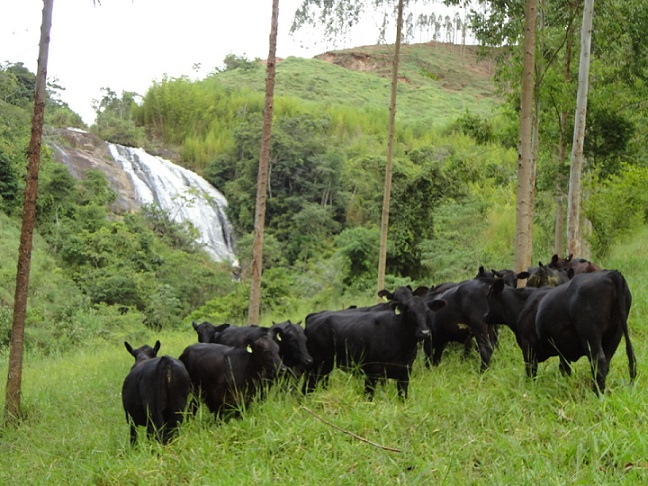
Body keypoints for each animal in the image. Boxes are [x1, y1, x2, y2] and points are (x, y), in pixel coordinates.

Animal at [302, 284, 442, 398]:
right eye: (410, 312)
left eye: (427, 311)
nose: (424, 332)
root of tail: (313, 318)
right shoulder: (372, 372)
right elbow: (369, 397)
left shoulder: (405, 372)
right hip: (320, 365)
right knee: (308, 387)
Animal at [484, 272, 636, 392]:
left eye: (488, 296)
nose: (484, 315)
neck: (522, 305)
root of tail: (610, 273)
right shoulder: (564, 351)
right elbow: (564, 370)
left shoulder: (528, 346)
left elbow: (531, 371)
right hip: (615, 335)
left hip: (590, 334)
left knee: (599, 362)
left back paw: (597, 393)